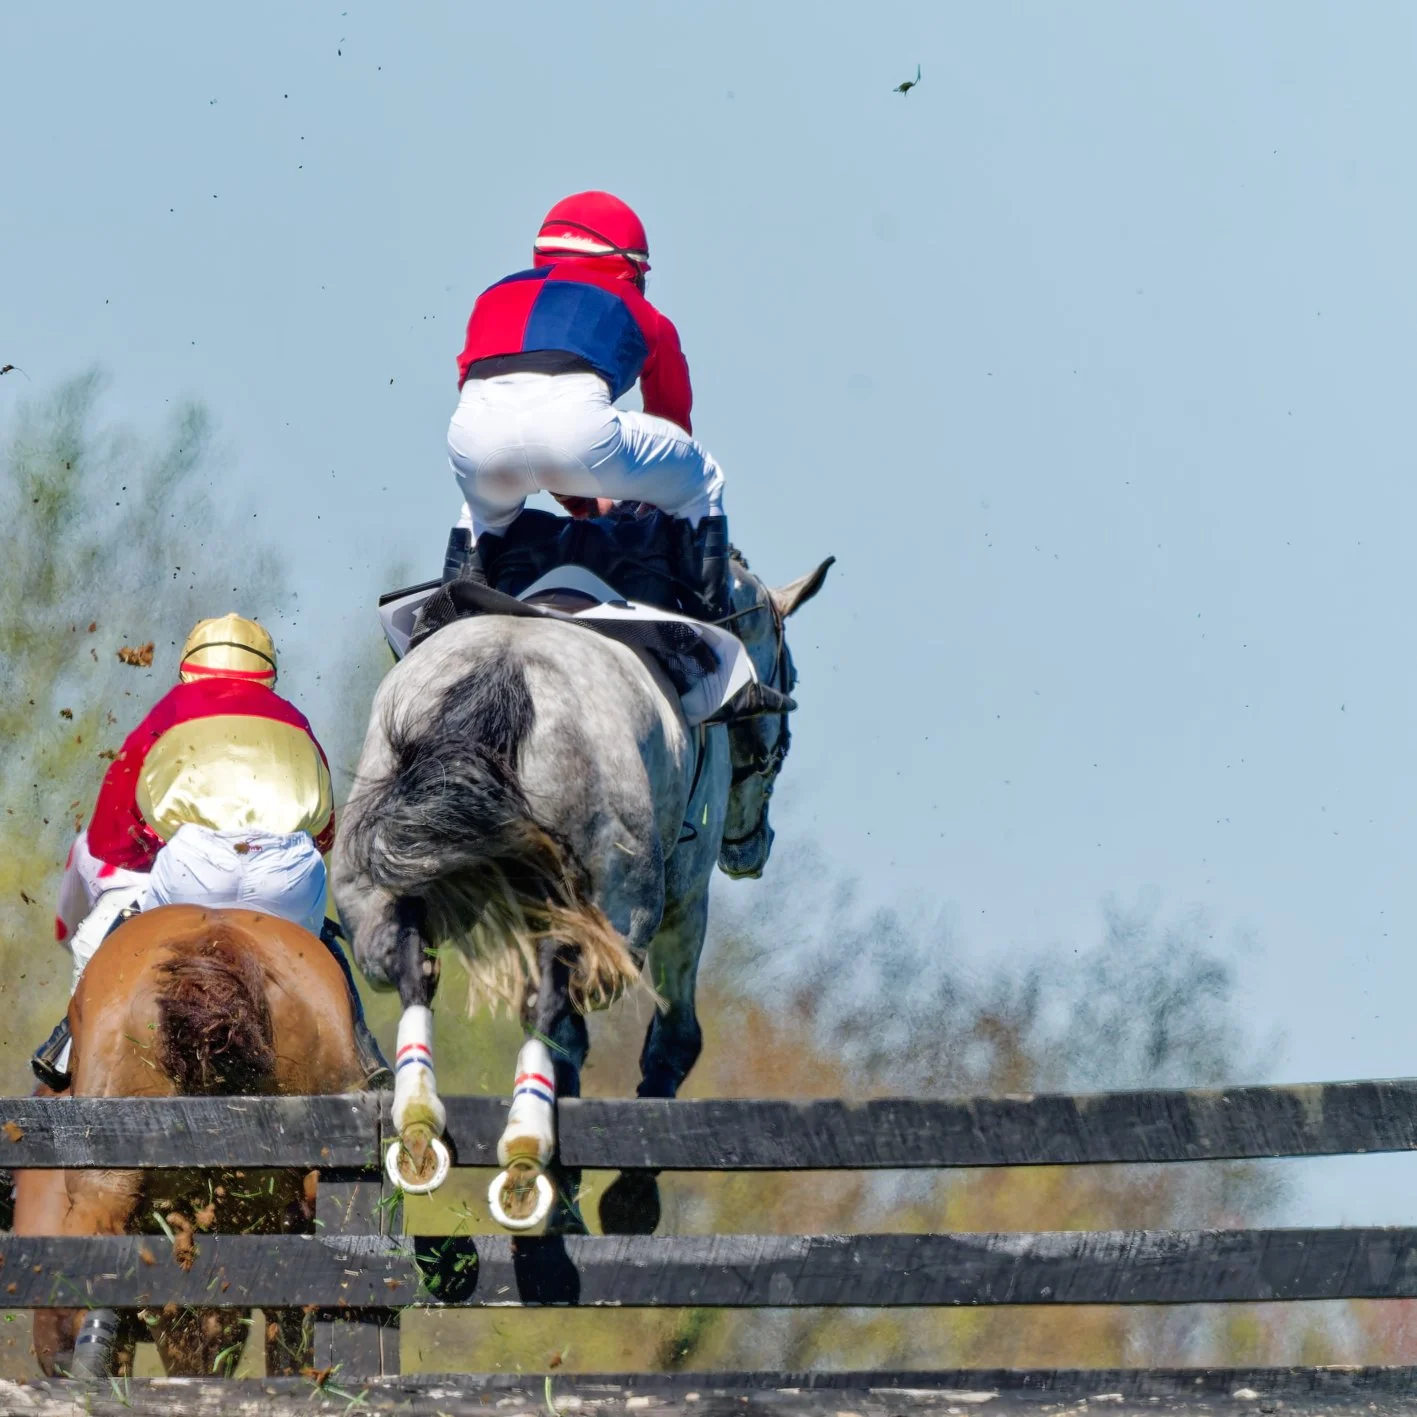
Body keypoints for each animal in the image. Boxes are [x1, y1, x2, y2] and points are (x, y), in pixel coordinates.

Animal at [332, 551, 831, 1233]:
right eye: (790, 673)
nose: (753, 847)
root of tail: (504, 666)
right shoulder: (682, 901)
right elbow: (674, 1038)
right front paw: (632, 1197)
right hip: (619, 911)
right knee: (557, 1018)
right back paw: (536, 1176)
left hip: (378, 886)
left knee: (417, 973)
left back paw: (420, 1128)